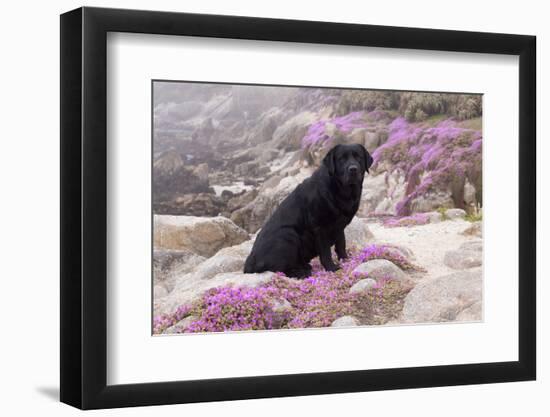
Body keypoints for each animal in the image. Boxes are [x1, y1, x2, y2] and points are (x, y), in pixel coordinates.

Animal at [245, 143, 376, 276]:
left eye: (358, 157)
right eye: (341, 159)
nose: (353, 169)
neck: (340, 189)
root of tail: (249, 263)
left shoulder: (339, 226)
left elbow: (341, 244)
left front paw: (346, 260)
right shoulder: (320, 227)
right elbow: (326, 252)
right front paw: (332, 268)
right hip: (288, 234)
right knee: (282, 270)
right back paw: (302, 273)